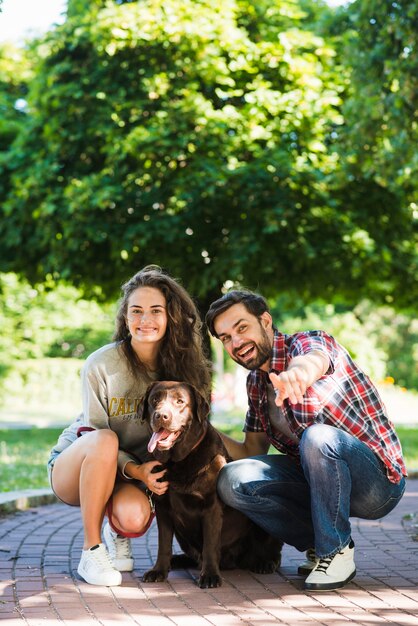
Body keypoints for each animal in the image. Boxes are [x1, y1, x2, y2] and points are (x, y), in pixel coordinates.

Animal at [139, 378, 282, 588]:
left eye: (180, 401)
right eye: (155, 399)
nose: (161, 416)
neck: (178, 462)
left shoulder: (211, 507)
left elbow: (210, 544)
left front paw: (210, 576)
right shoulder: (163, 507)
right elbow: (163, 543)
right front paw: (158, 570)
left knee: (272, 551)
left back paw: (264, 563)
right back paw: (177, 560)